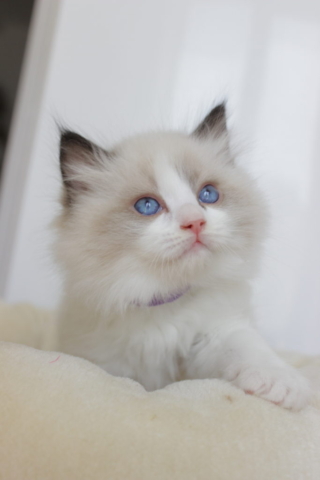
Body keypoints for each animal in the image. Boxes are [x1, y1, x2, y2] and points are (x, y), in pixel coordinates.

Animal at [54, 104, 310, 408]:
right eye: (147, 205)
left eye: (208, 194)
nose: (195, 222)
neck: (163, 299)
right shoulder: (104, 359)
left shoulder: (220, 330)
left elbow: (250, 347)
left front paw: (282, 385)